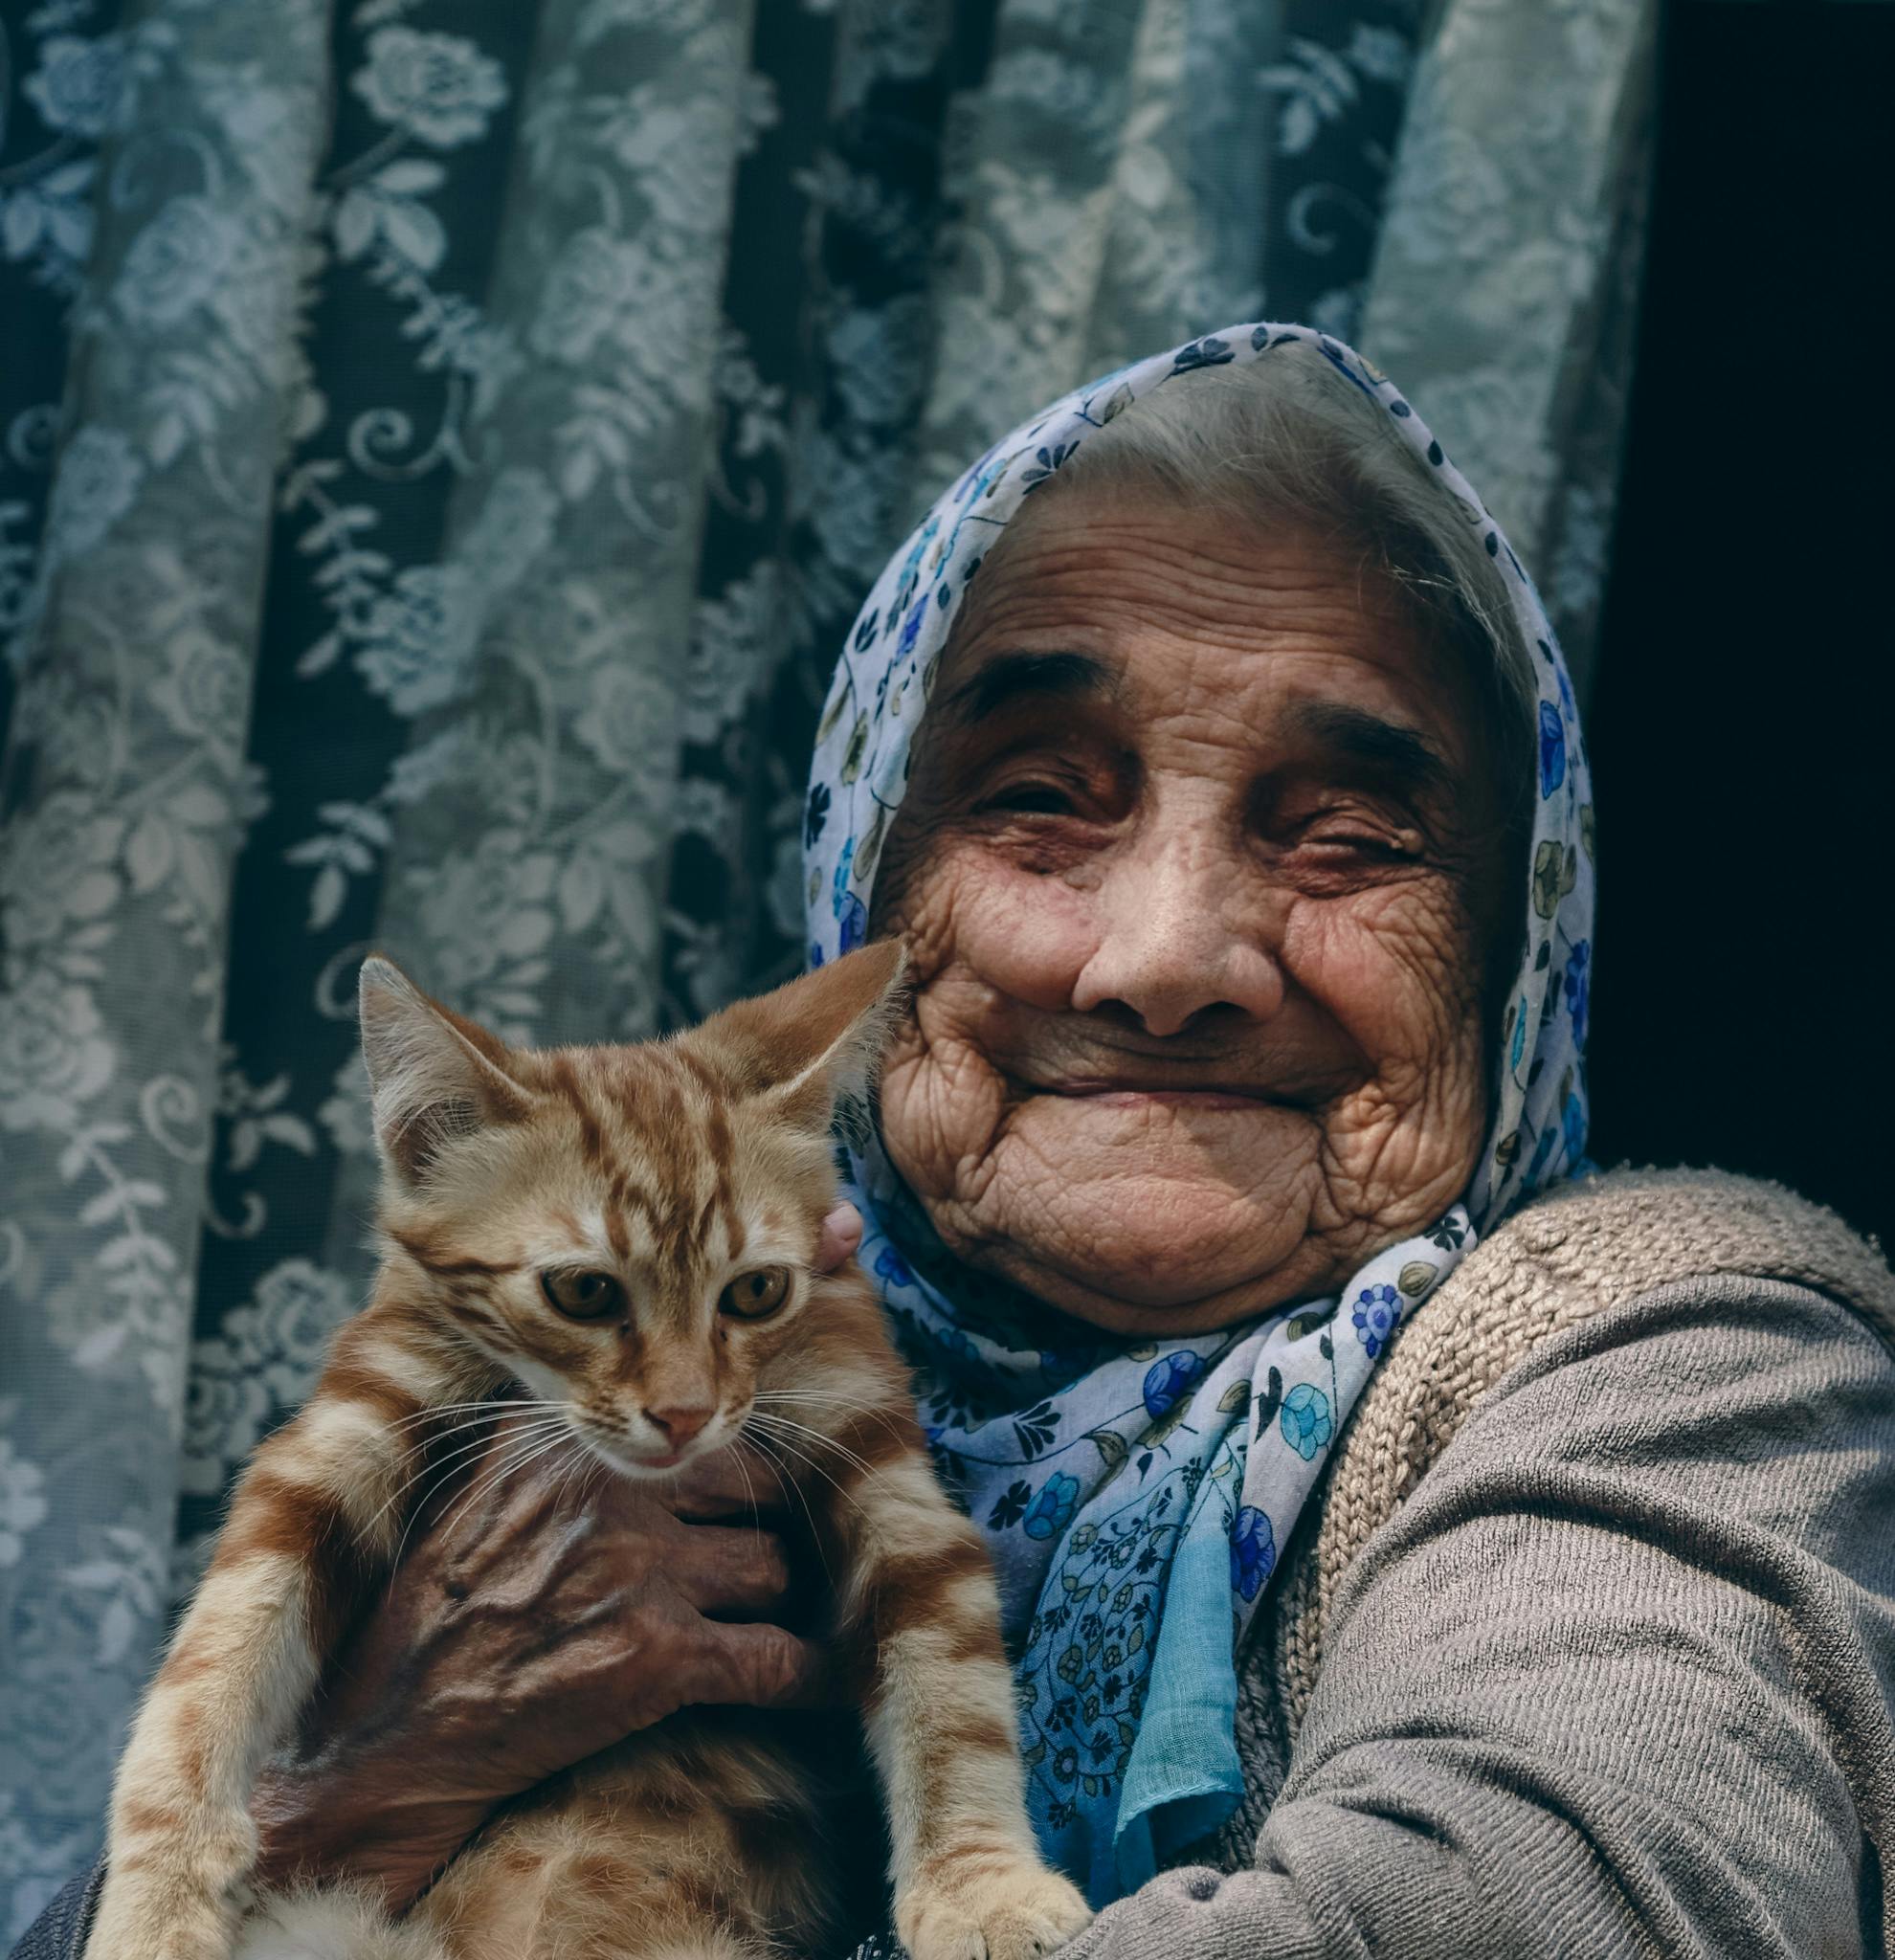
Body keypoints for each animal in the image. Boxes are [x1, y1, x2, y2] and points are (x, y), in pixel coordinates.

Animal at [92, 941, 1097, 1951]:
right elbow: (212, 1664)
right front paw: (154, 1906)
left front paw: (979, 1884)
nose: (686, 1413)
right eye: (582, 1292)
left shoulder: (880, 1465)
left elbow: (953, 1692)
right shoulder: (346, 1426)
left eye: (757, 1291)